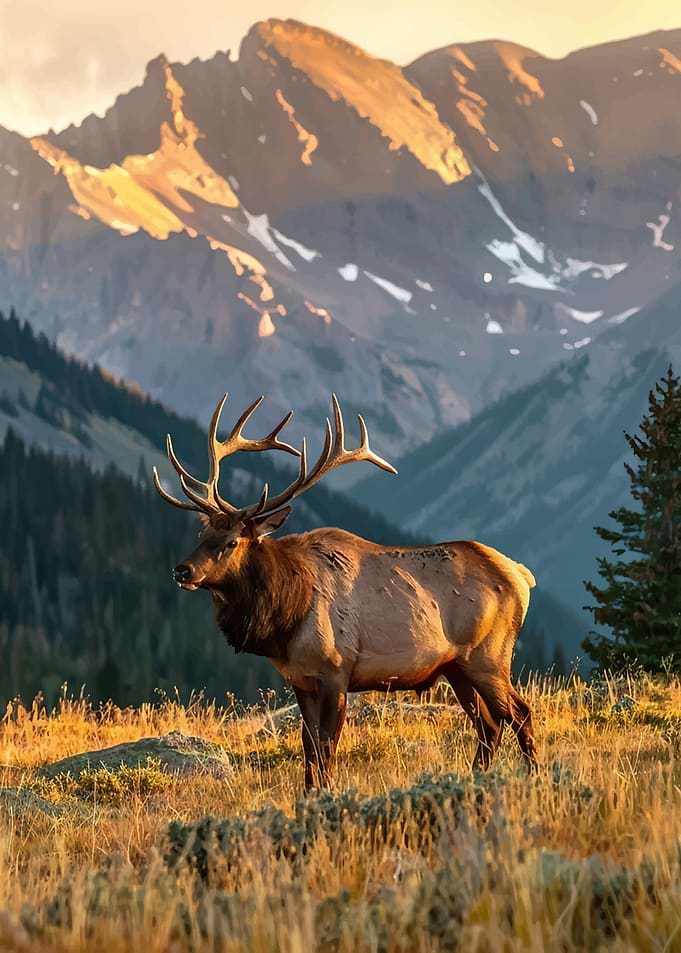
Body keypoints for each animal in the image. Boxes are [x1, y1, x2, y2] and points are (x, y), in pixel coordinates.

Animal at [153, 393, 538, 791]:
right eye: (202, 534)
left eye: (231, 542)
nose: (182, 570)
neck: (286, 618)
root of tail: (522, 576)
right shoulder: (301, 680)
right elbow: (308, 747)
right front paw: (309, 793)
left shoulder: (337, 670)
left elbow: (326, 746)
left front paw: (328, 792)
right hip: (456, 666)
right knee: (489, 724)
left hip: (489, 656)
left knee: (520, 713)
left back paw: (536, 776)